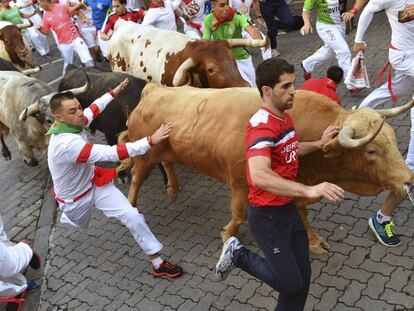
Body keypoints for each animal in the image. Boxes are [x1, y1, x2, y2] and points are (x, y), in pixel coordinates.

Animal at [120, 84, 414, 254]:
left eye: (392, 138)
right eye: (371, 151)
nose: (408, 179)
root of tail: (155, 89)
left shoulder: (297, 187)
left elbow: (303, 215)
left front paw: (314, 241)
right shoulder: (241, 183)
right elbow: (239, 214)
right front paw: (228, 234)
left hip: (168, 149)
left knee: (167, 162)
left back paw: (173, 187)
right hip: (145, 154)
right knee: (136, 177)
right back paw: (131, 208)